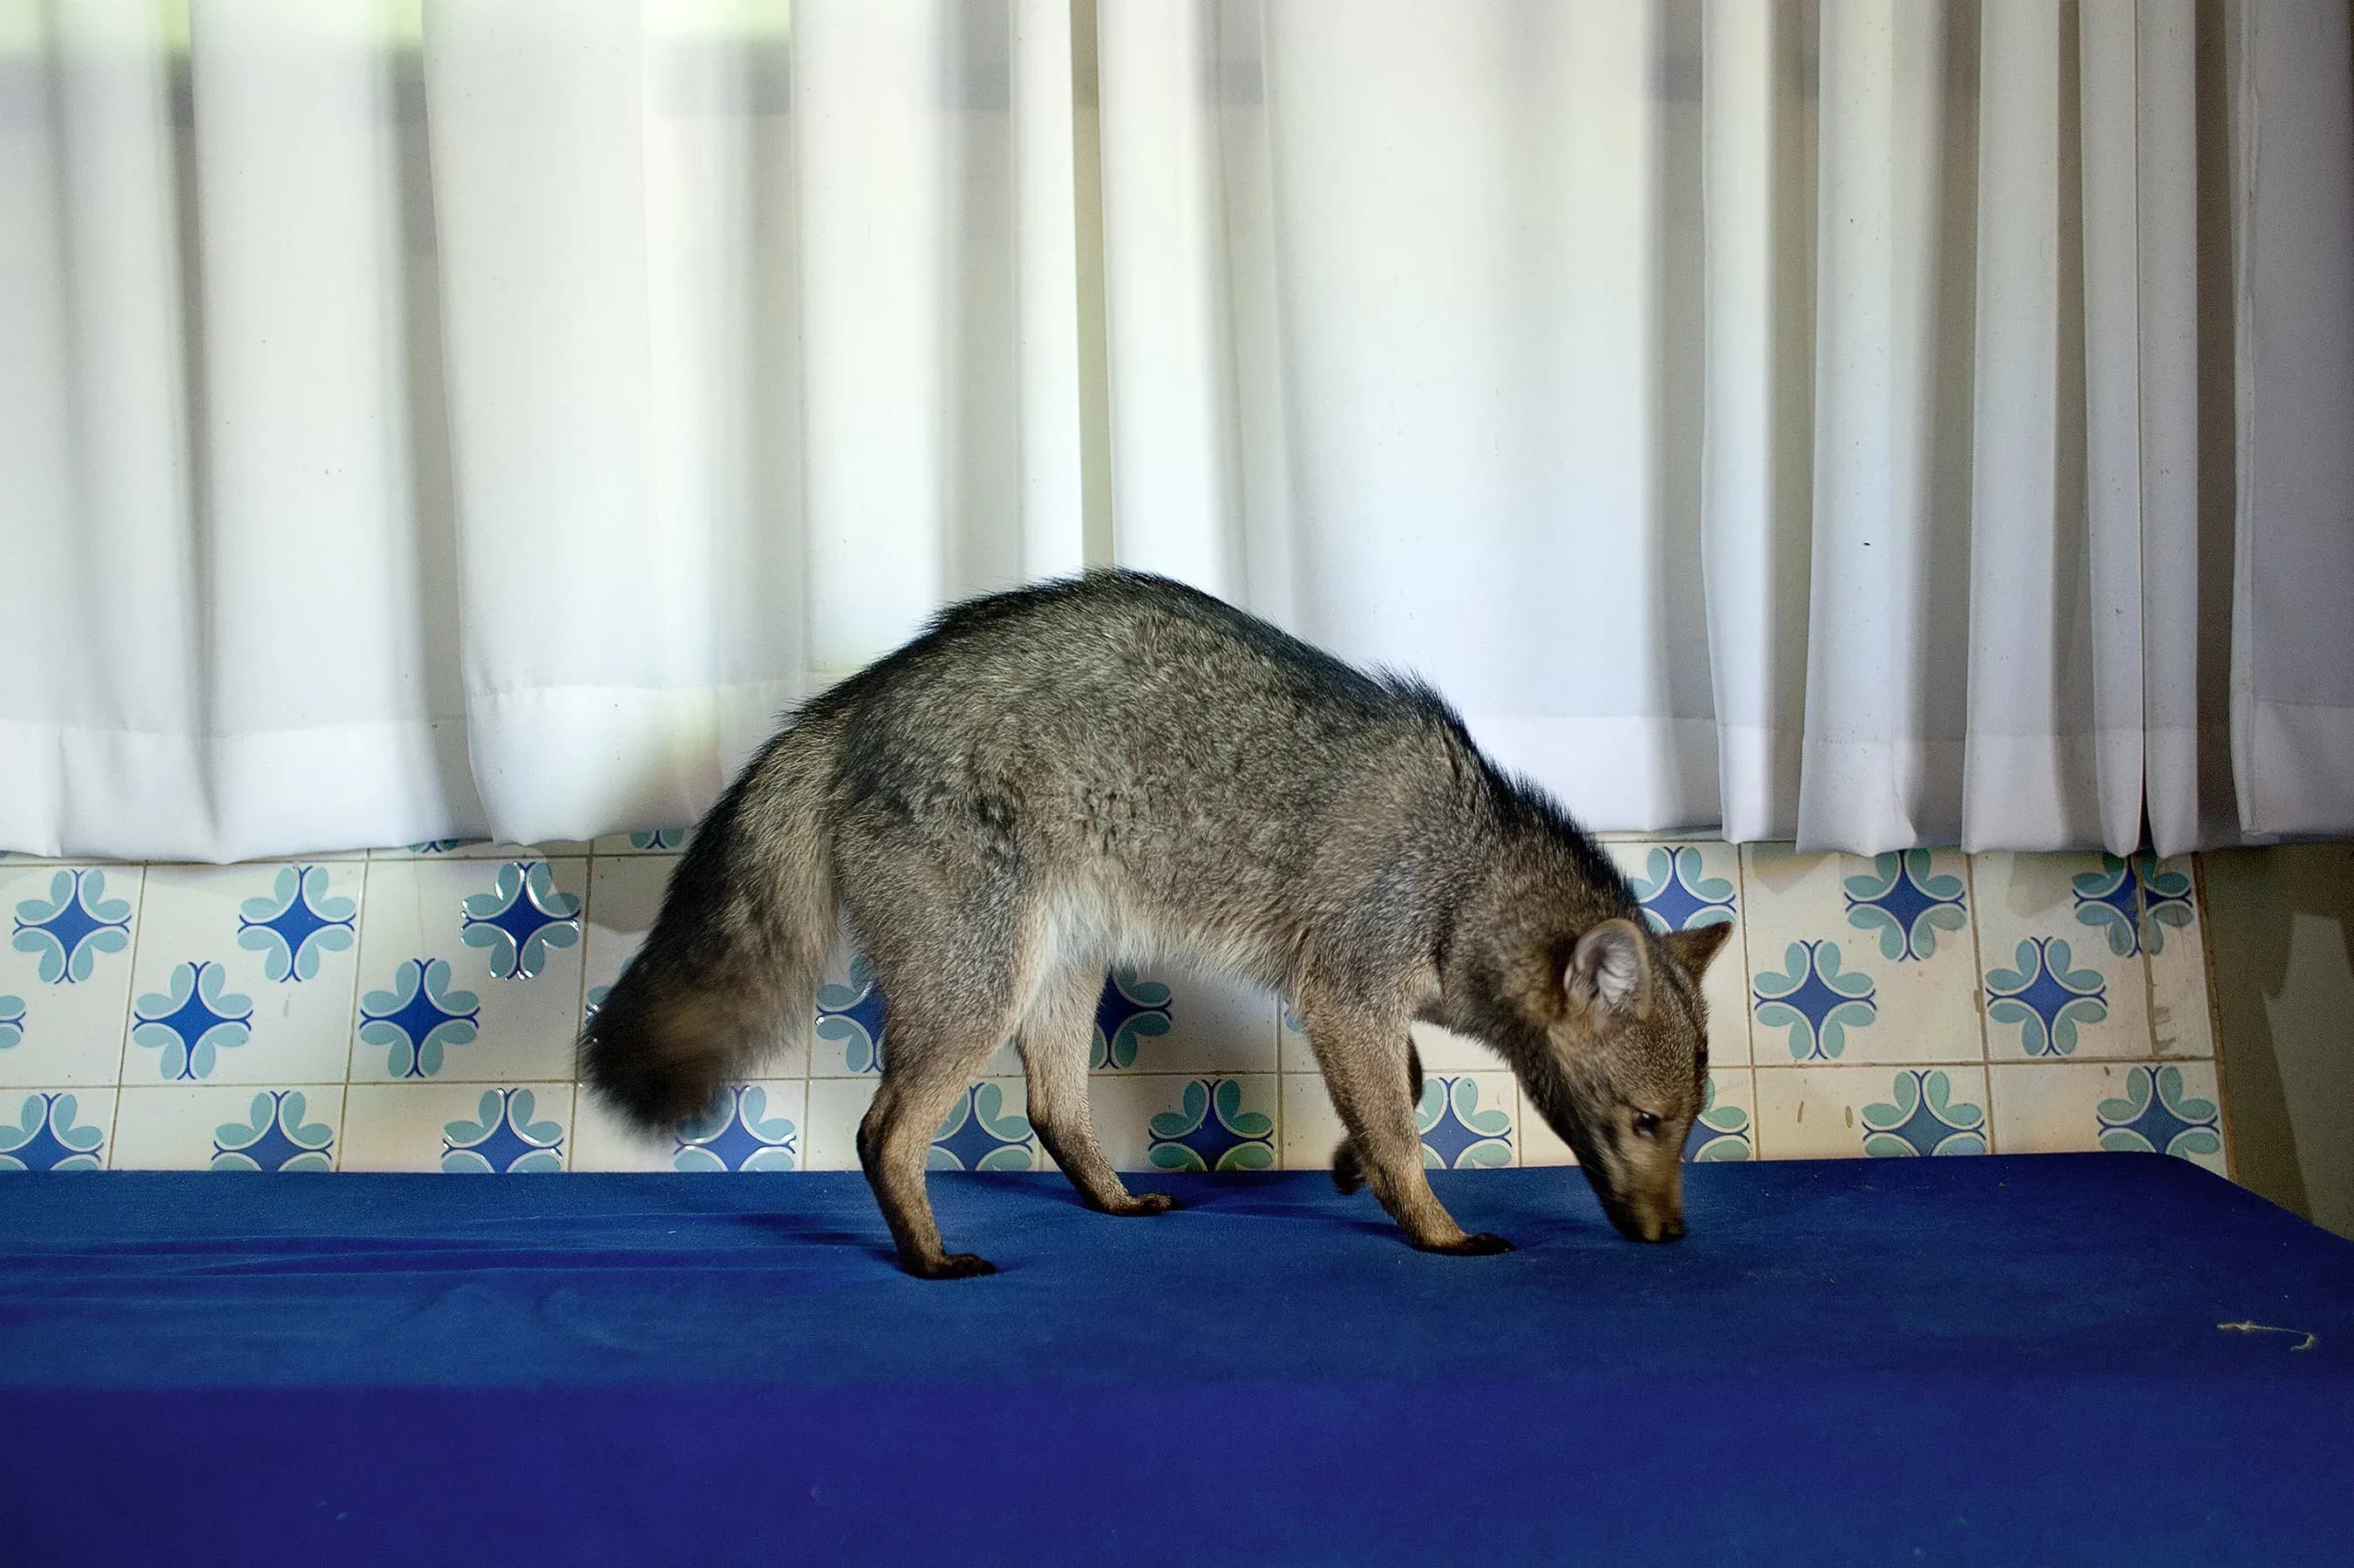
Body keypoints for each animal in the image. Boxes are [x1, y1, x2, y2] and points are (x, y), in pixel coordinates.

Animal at [579, 570, 1732, 1279]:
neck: (1463, 868)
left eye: (1686, 1126)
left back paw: (1113, 1202)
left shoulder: (1357, 1003)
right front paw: (1435, 1230)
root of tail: (854, 697)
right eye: (1645, 1122)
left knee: (1052, 1111)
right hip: (980, 992)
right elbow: (1406, 1131)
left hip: (1060, 976)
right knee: (883, 1132)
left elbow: (1398, 1091)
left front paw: (1348, 1161)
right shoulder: (1343, 990)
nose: (1675, 1233)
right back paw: (929, 1258)